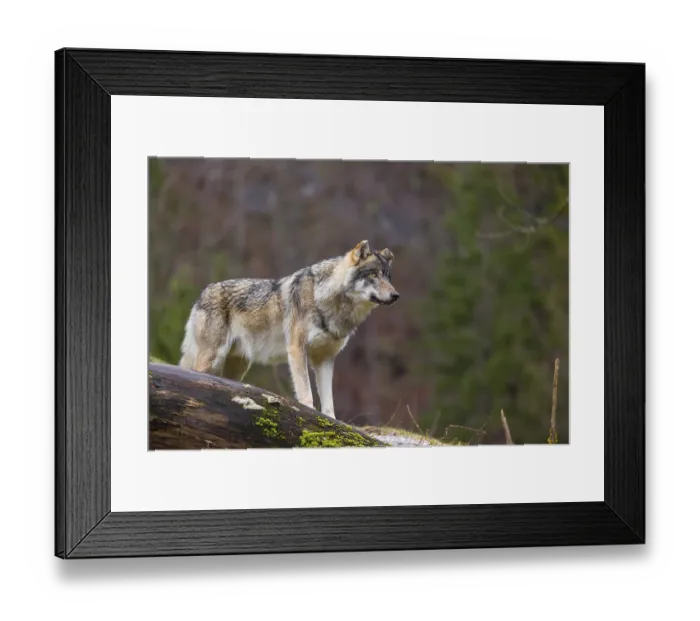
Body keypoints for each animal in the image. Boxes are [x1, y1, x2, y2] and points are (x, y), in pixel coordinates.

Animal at [178, 240, 399, 418]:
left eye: (388, 277)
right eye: (373, 274)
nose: (396, 295)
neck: (325, 299)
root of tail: (202, 294)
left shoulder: (325, 360)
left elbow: (328, 404)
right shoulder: (297, 349)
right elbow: (306, 394)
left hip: (236, 368)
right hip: (211, 359)